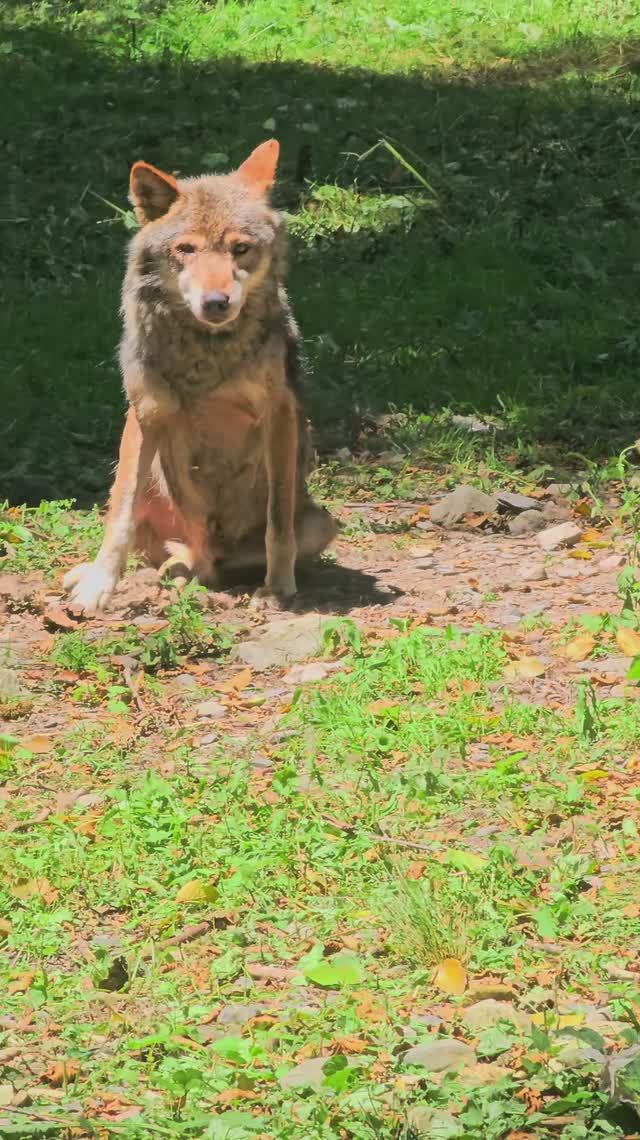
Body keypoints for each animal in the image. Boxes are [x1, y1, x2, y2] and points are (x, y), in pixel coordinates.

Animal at [62, 142, 337, 615]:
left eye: (240, 249)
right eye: (186, 249)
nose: (215, 301)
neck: (206, 355)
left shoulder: (279, 414)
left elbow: (278, 522)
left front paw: (277, 589)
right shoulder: (145, 413)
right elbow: (119, 516)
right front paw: (98, 585)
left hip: (323, 523)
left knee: (214, 565)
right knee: (175, 552)